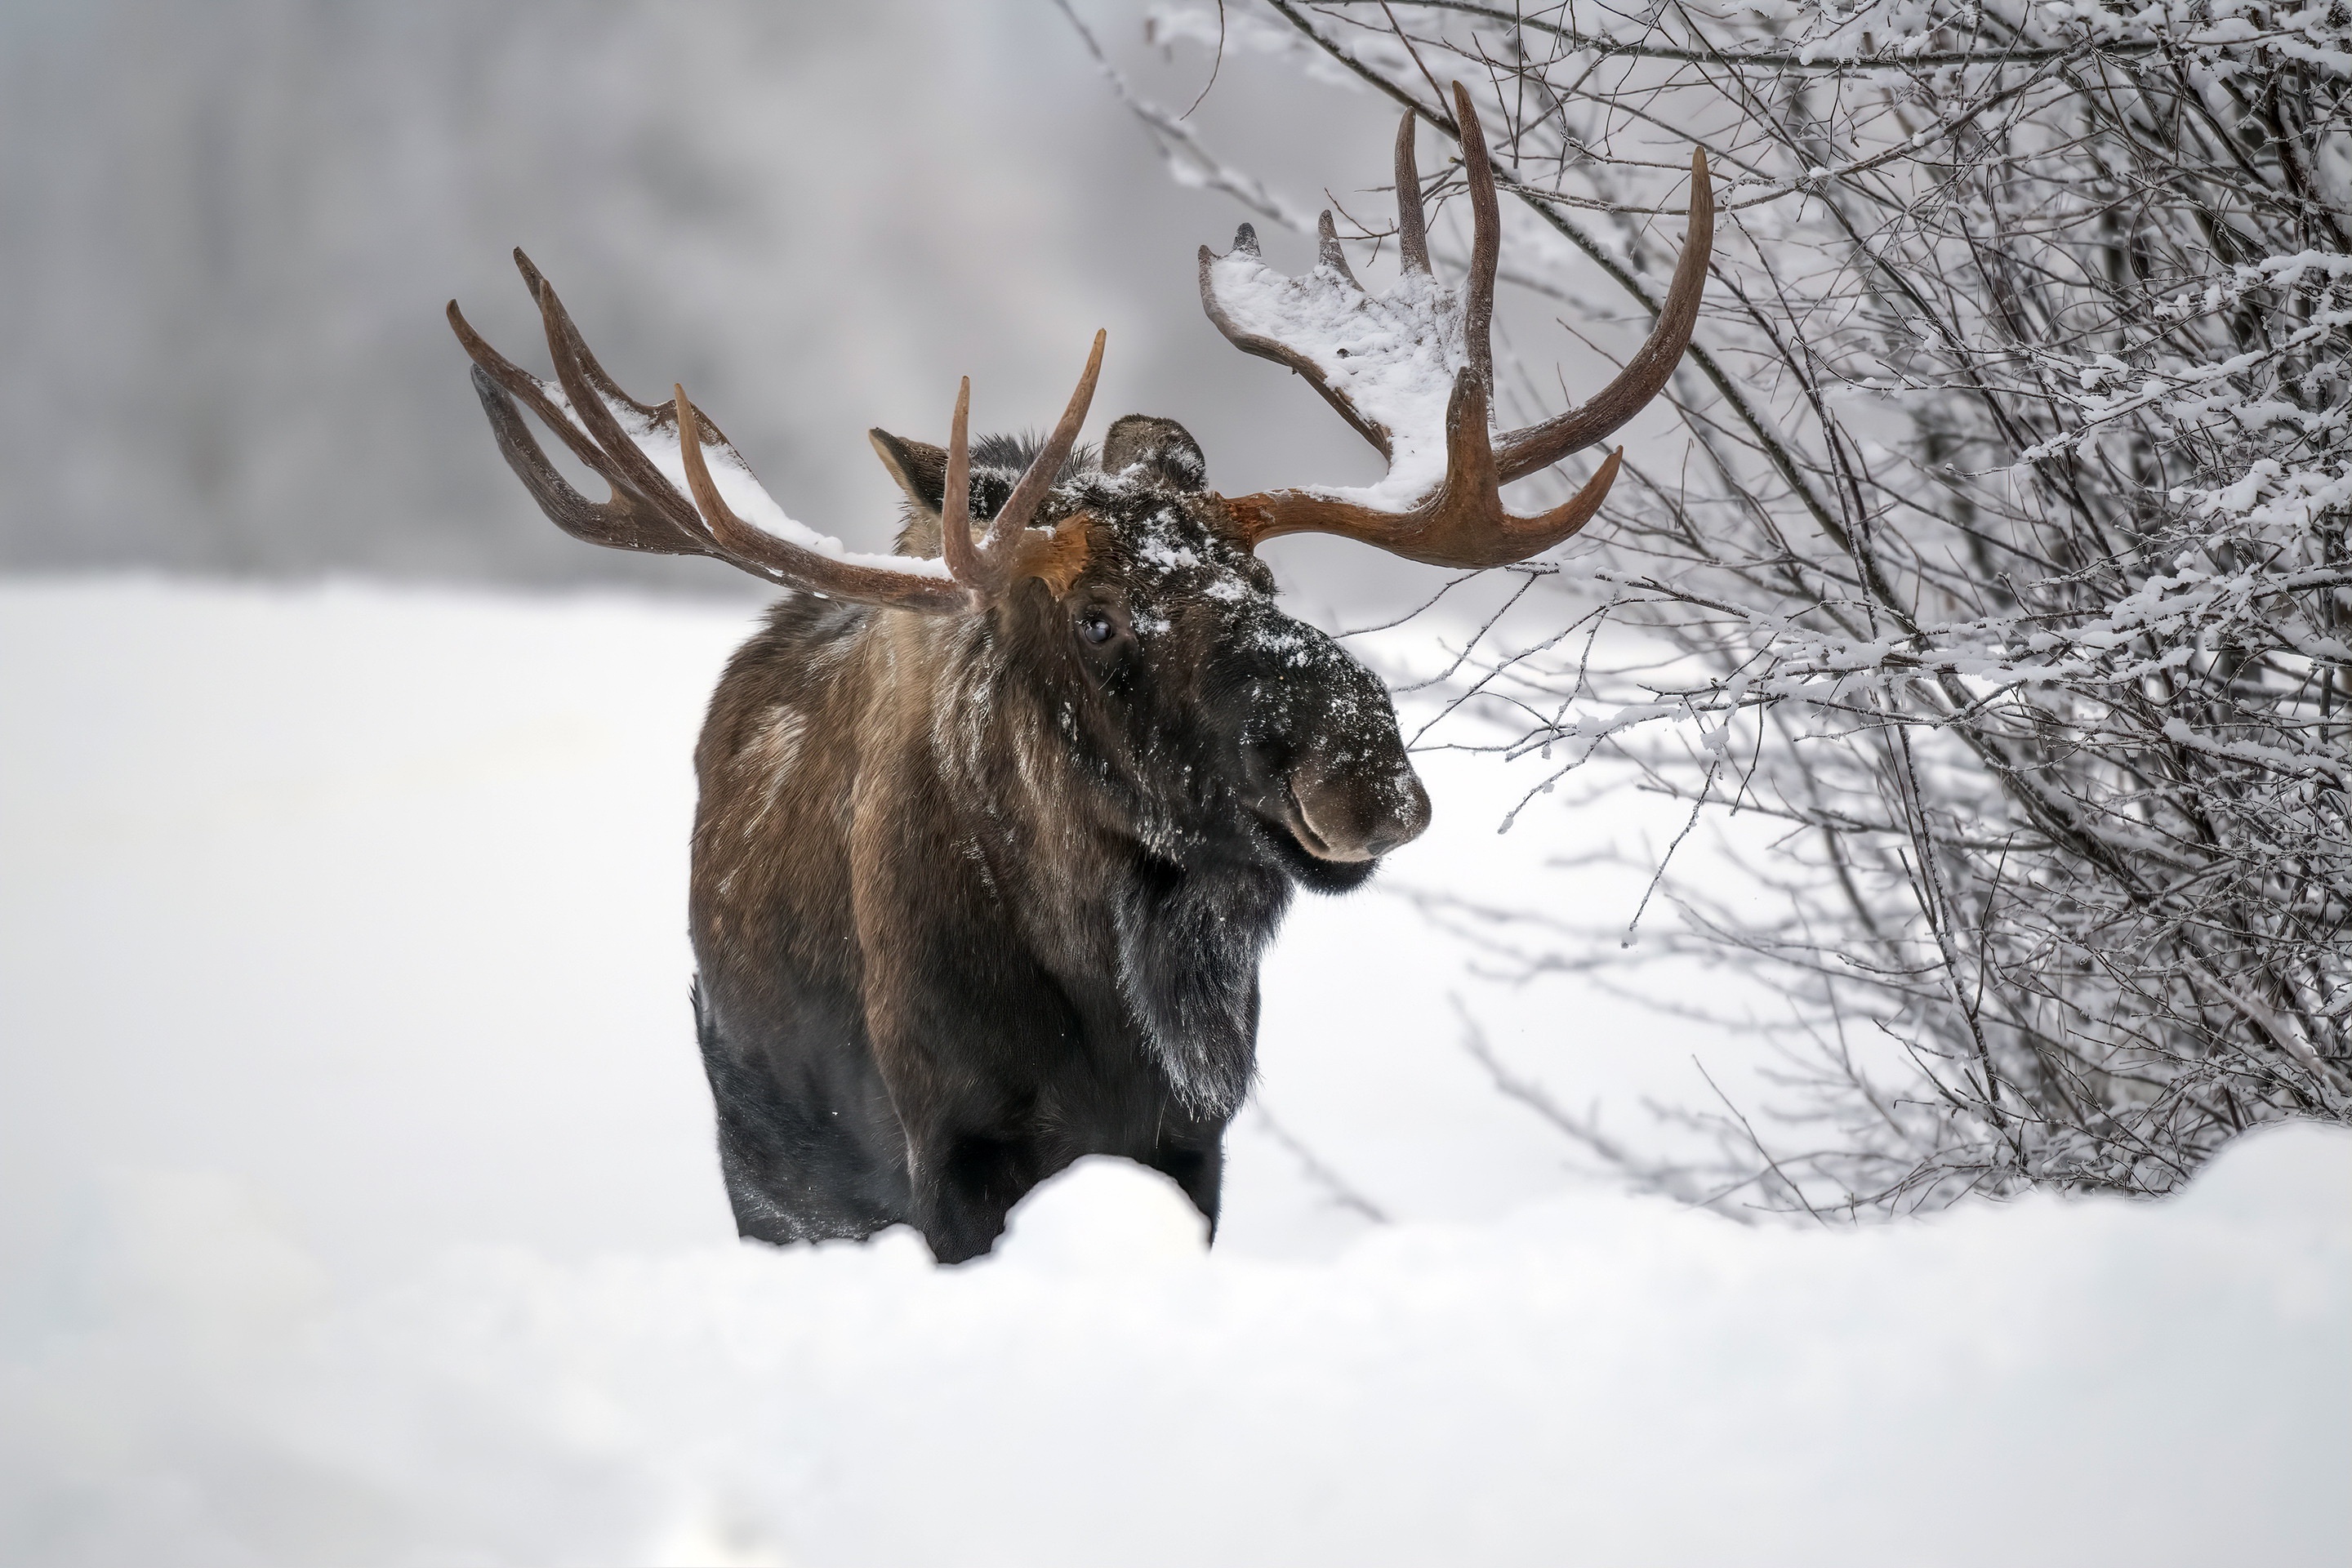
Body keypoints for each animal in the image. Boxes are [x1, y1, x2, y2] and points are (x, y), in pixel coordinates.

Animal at [447, 88, 1711, 1262]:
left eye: (1263, 575)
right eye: (1096, 621)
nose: (1361, 763)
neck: (1105, 990)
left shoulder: (1189, 1144)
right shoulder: (954, 1152)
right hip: (772, 1182)